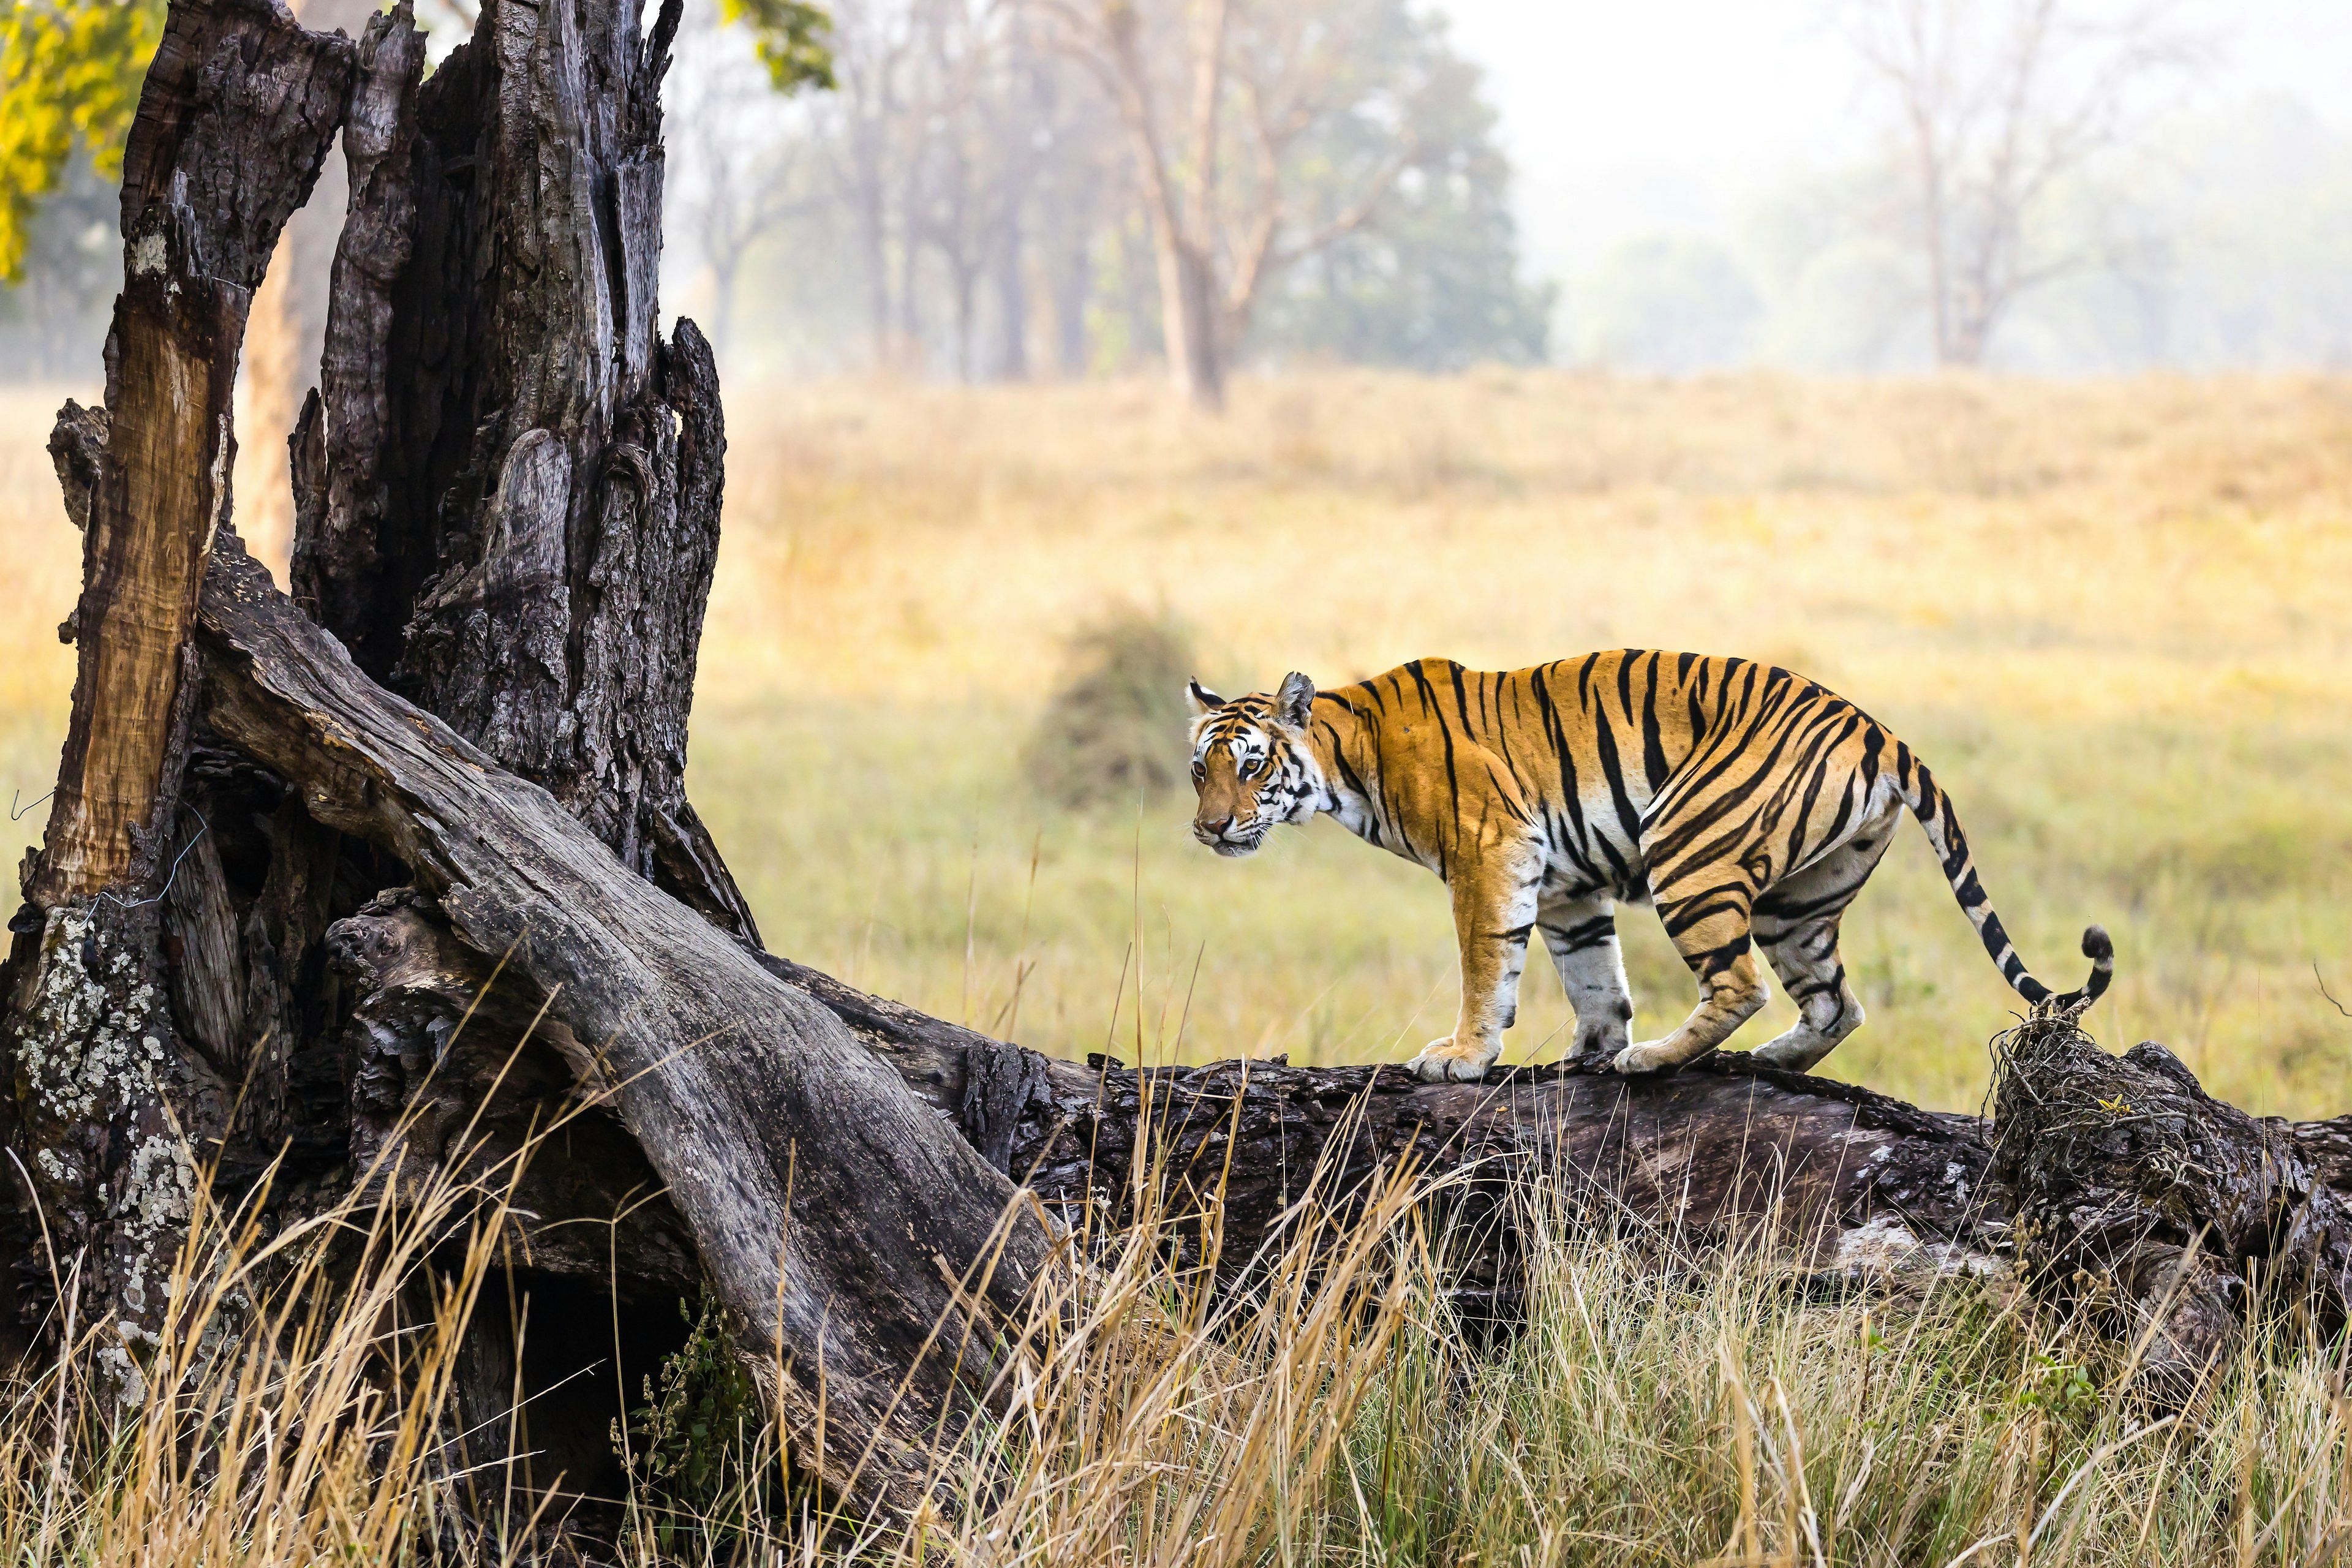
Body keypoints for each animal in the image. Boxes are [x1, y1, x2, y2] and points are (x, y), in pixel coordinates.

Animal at [1194, 649, 2117, 1081]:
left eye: (1253, 766)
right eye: (1201, 767)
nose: (1208, 830)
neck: (1348, 760)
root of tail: (1877, 729)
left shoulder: (1489, 855)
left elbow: (1485, 966)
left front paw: (1462, 1055)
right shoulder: (1565, 886)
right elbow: (1594, 977)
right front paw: (1587, 1052)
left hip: (1690, 845)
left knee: (1740, 984)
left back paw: (1660, 1060)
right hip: (1799, 902)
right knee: (1837, 1004)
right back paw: (1767, 1061)